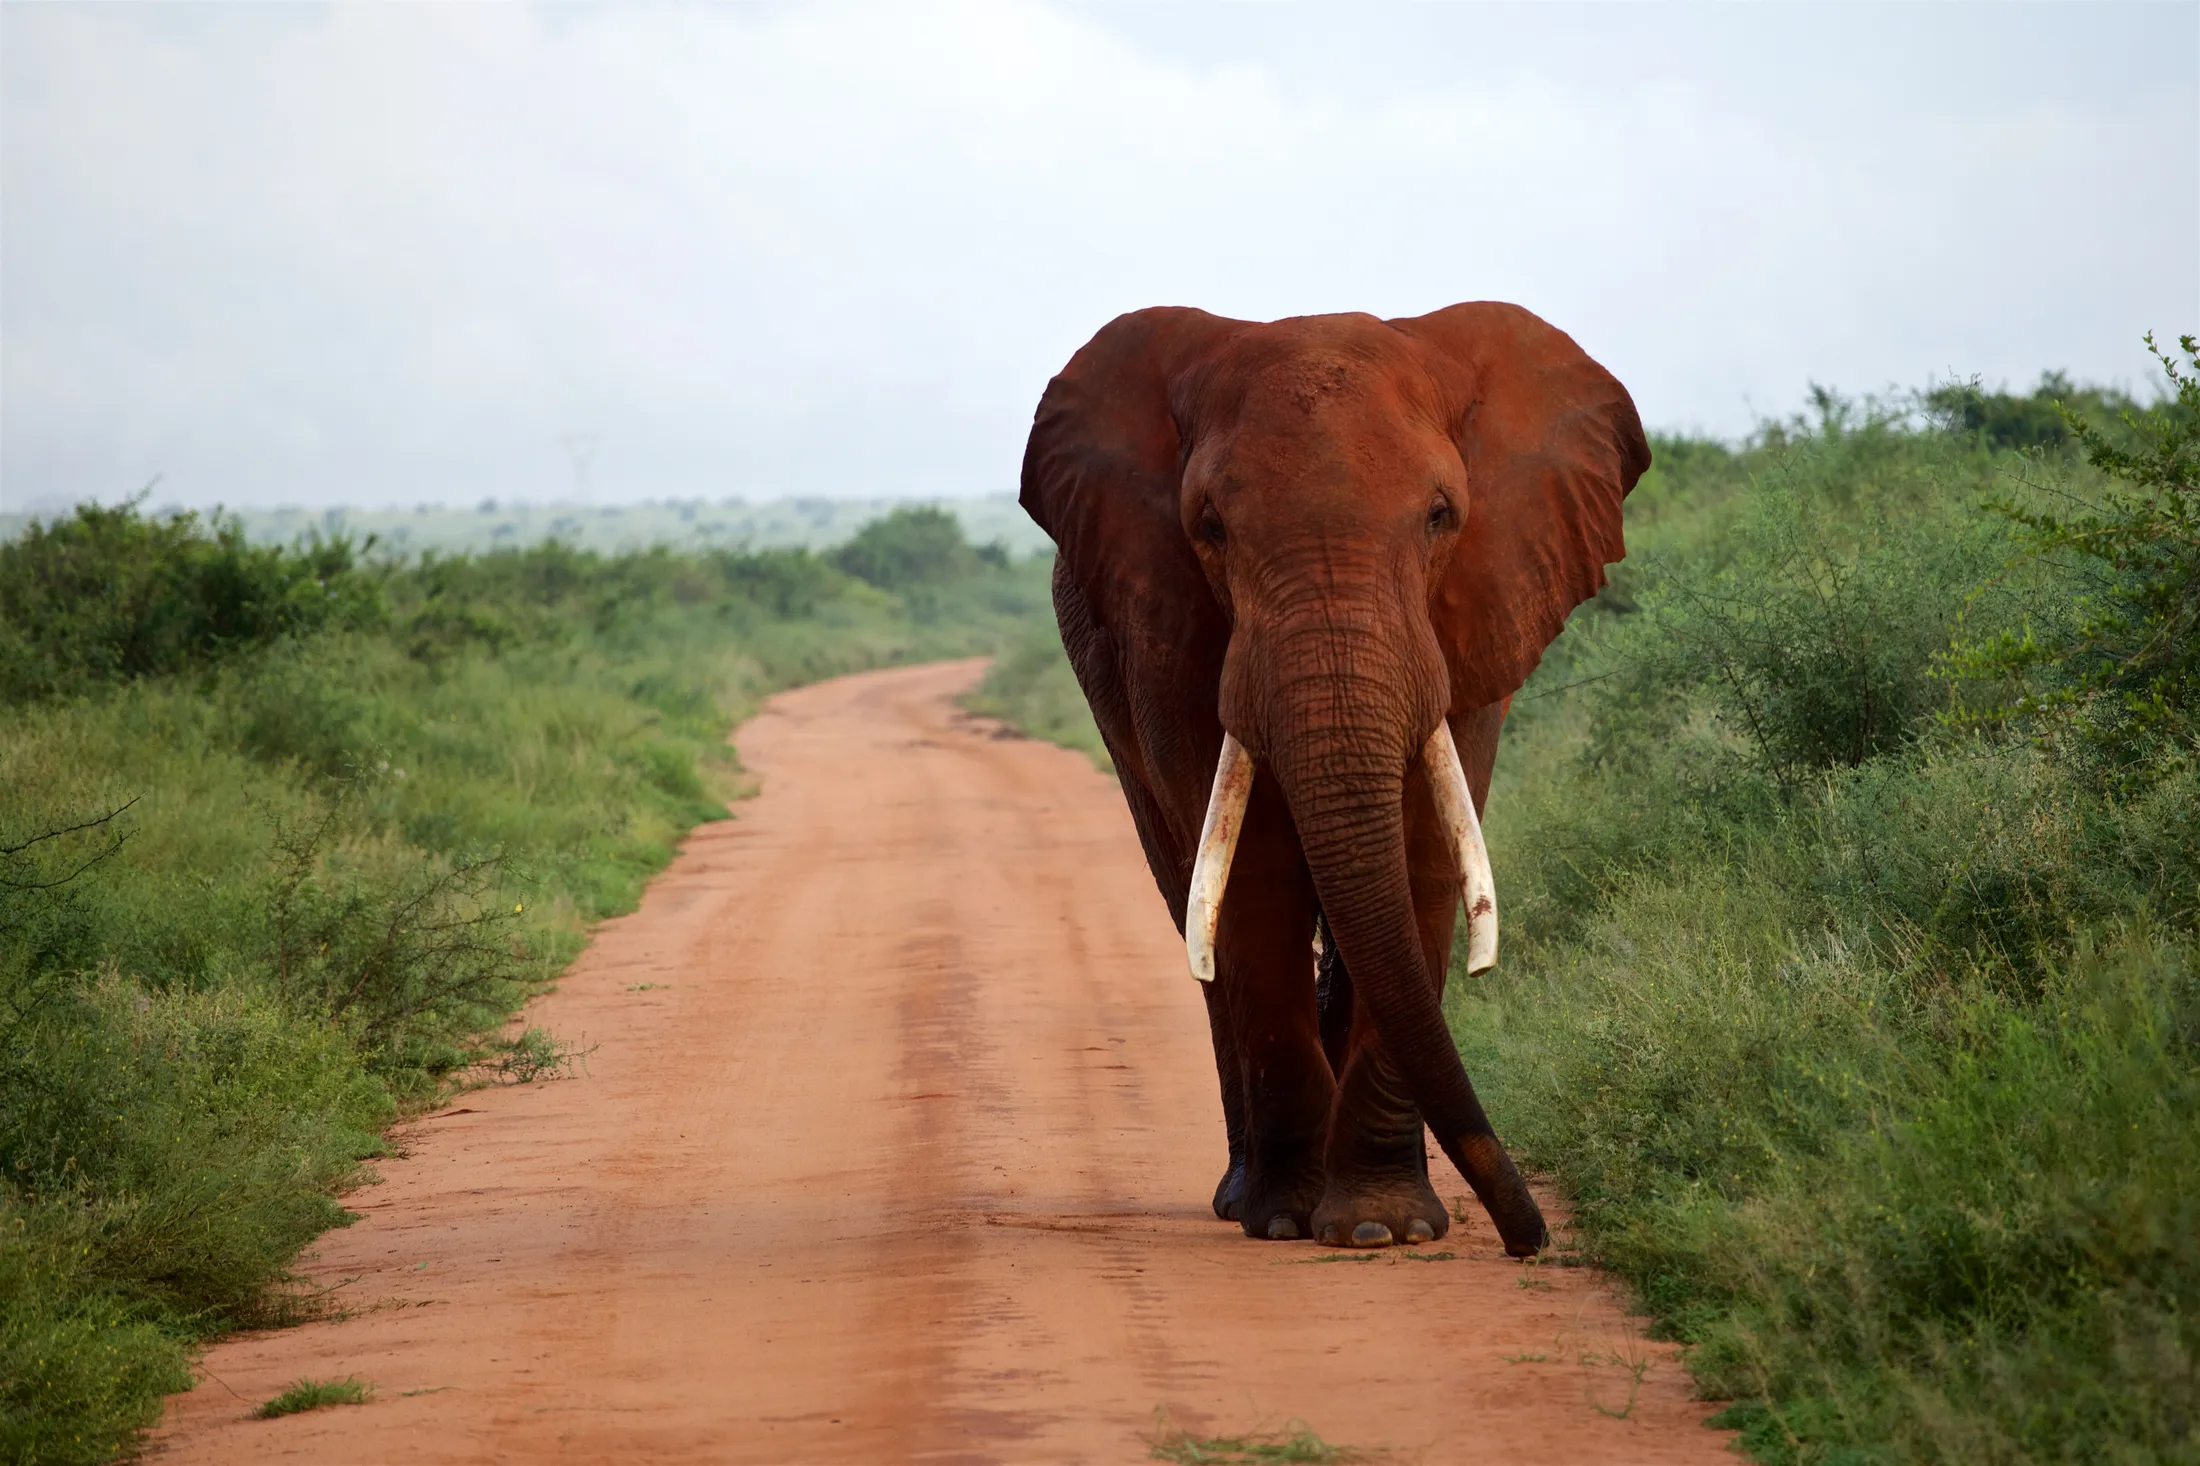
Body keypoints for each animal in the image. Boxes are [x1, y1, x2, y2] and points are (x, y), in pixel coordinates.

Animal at [1019, 302, 1649, 1257]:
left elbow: (1422, 856)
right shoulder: (1166, 632)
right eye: (1210, 526)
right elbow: (1253, 873)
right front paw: (1290, 1219)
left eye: (1440, 516)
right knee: (1194, 910)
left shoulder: (1476, 614)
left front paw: (1383, 1228)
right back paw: (1242, 1196)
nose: (1529, 1239)